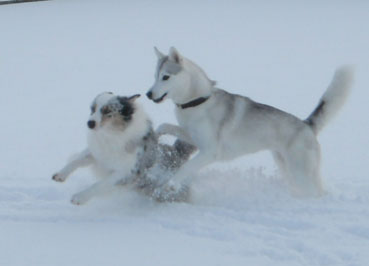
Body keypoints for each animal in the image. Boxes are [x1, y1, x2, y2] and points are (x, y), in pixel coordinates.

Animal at [52, 91, 196, 204]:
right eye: (93, 109)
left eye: (107, 110)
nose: (90, 123)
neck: (113, 134)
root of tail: (177, 153)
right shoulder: (98, 153)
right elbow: (76, 161)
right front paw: (60, 175)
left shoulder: (125, 172)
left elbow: (100, 185)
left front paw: (79, 197)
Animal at [145, 46, 352, 196]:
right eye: (155, 76)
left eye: (166, 77)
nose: (148, 94)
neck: (198, 101)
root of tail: (307, 125)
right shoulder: (193, 138)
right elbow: (165, 126)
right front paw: (155, 134)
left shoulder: (210, 152)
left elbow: (185, 168)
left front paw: (169, 185)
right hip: (287, 168)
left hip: (302, 173)